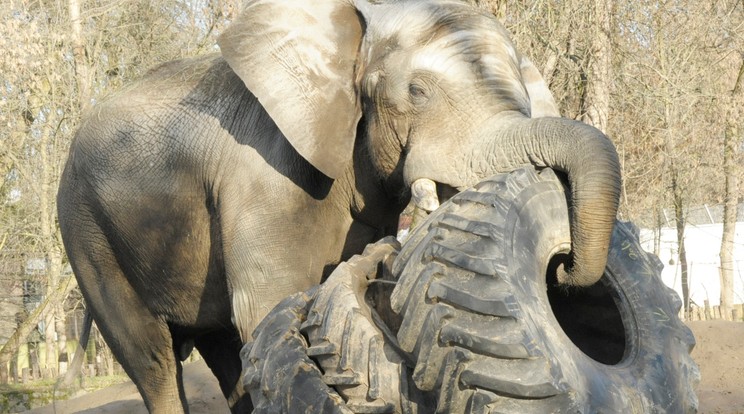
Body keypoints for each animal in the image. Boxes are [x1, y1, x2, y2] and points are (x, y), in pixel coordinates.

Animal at [55, 0, 620, 410]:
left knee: (223, 351)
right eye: (417, 92)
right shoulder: (263, 169)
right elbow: (268, 303)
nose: (563, 269)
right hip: (87, 233)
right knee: (152, 357)